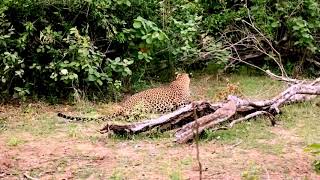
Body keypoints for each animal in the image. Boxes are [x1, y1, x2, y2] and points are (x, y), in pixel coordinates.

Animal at [57, 73, 191, 121]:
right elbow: (188, 103)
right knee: (131, 116)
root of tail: (123, 106)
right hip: (143, 104)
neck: (180, 80)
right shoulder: (179, 102)